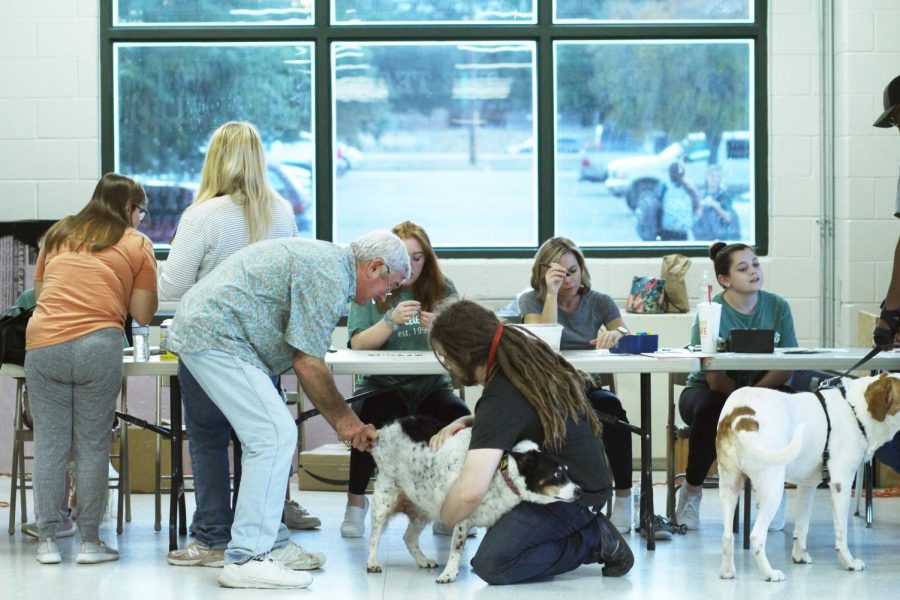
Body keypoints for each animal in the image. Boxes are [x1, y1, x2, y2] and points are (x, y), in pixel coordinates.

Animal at [368, 414, 584, 584]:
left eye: (566, 471)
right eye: (557, 474)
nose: (579, 491)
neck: (501, 472)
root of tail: (384, 431)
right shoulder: (461, 520)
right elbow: (456, 548)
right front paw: (448, 573)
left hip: (422, 508)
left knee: (409, 537)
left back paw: (423, 560)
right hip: (384, 501)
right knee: (374, 537)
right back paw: (372, 563)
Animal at [720, 372, 900, 580]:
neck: (856, 410)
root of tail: (741, 415)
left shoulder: (807, 486)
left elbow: (802, 527)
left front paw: (799, 556)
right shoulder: (842, 484)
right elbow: (841, 531)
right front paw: (848, 562)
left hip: (729, 487)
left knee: (727, 535)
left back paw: (727, 572)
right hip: (773, 490)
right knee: (756, 536)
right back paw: (769, 574)